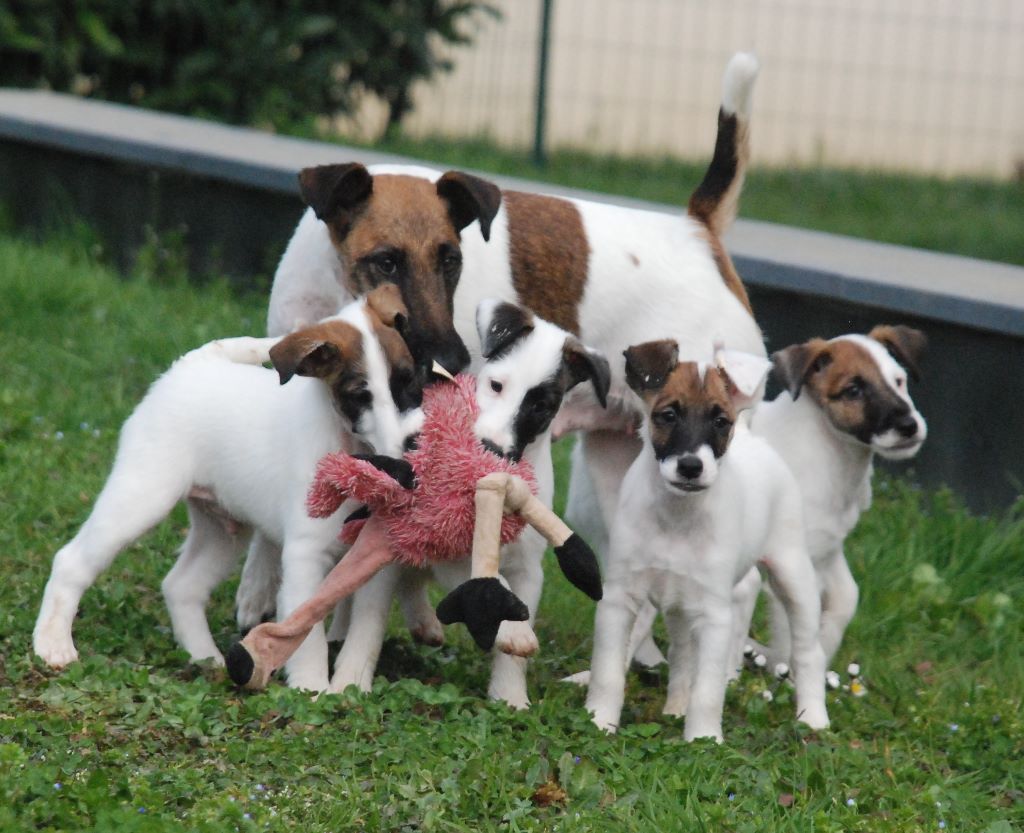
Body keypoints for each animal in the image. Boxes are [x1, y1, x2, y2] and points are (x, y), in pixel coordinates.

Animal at [30, 286, 423, 688]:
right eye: (360, 397)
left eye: (409, 380)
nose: (415, 444)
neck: (356, 451)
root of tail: (192, 363)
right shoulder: (306, 556)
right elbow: (305, 632)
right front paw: (312, 688)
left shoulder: (376, 564)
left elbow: (366, 631)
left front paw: (349, 687)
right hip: (142, 496)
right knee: (71, 561)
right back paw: (53, 644)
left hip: (221, 529)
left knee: (181, 585)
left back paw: (206, 658)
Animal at [581, 340, 827, 741]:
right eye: (667, 416)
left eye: (720, 422)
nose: (691, 467)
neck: (677, 516)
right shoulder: (619, 599)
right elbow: (608, 672)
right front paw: (600, 720)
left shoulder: (715, 615)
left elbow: (708, 690)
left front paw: (704, 739)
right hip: (681, 605)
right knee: (682, 653)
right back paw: (675, 707)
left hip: (793, 574)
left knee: (809, 652)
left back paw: (813, 717)